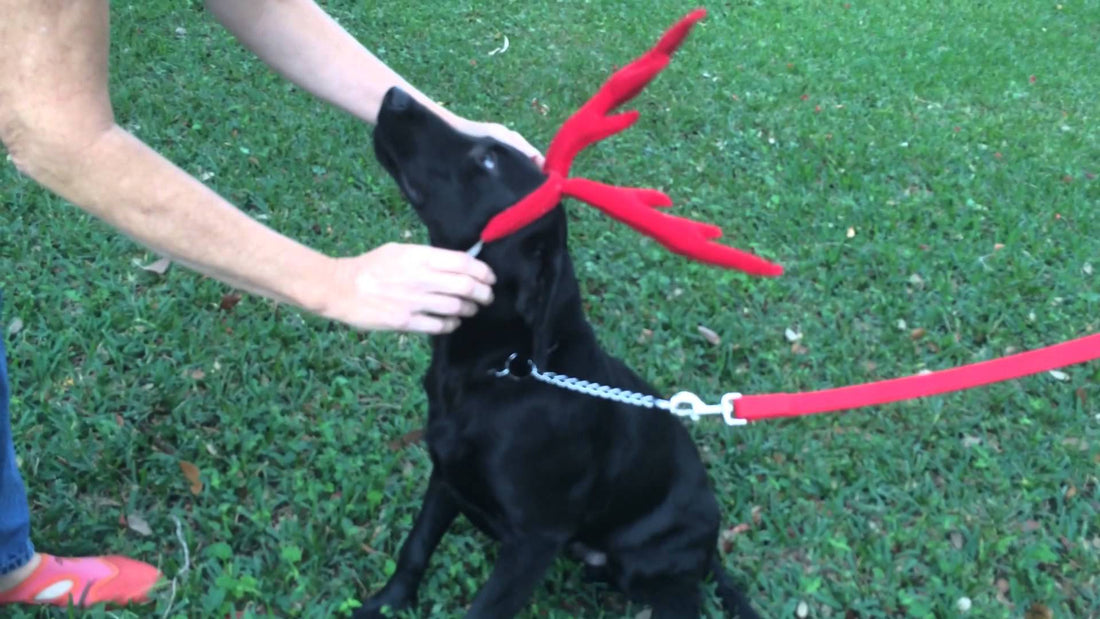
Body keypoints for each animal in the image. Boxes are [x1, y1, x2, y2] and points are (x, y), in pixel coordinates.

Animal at [356, 87, 761, 619]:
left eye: (488, 160)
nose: (395, 94)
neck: (502, 370)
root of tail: (711, 545)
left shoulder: (532, 541)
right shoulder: (446, 475)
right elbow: (415, 548)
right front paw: (384, 605)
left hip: (650, 566)